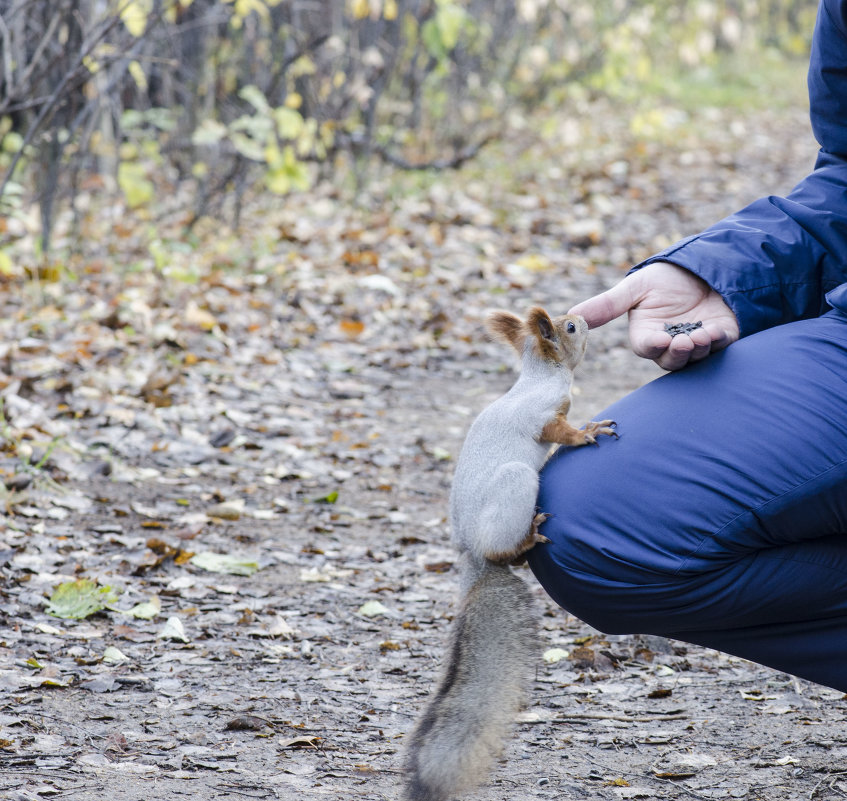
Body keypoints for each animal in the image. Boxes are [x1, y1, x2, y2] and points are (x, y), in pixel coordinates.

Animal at [404, 306, 616, 800]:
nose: (584, 317)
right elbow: (561, 431)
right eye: (570, 327)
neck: (540, 376)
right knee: (508, 550)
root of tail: (474, 557)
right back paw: (526, 539)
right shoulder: (543, 416)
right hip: (517, 483)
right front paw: (588, 432)